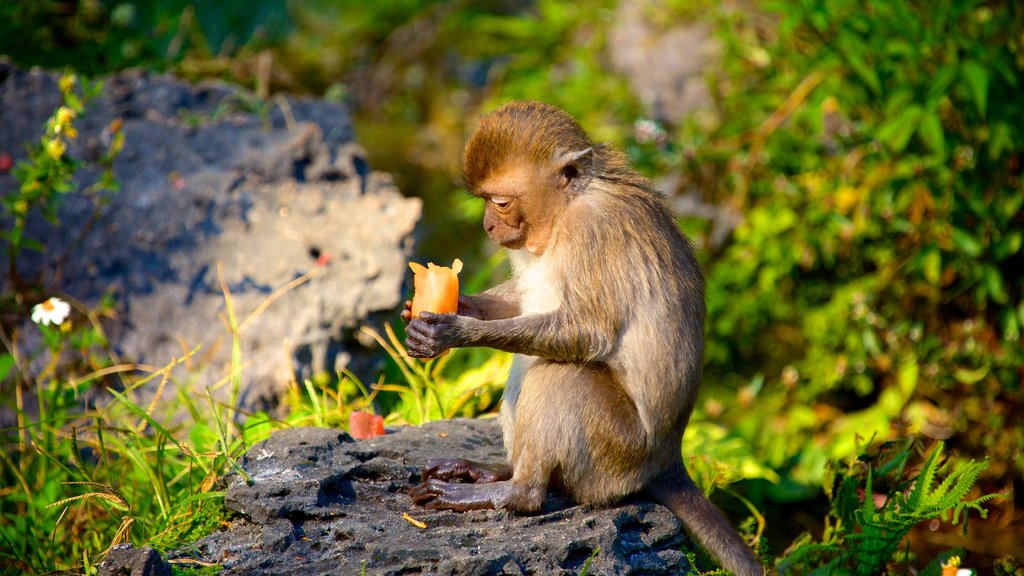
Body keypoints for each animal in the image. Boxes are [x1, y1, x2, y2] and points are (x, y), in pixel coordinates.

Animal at [399, 100, 770, 573]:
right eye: (484, 202)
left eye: (500, 202)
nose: (487, 226)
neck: (563, 213)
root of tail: (668, 461)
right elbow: (524, 303)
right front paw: (447, 307)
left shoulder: (592, 230)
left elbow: (587, 334)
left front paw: (455, 331)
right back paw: (497, 470)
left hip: (618, 455)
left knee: (561, 374)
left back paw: (515, 491)